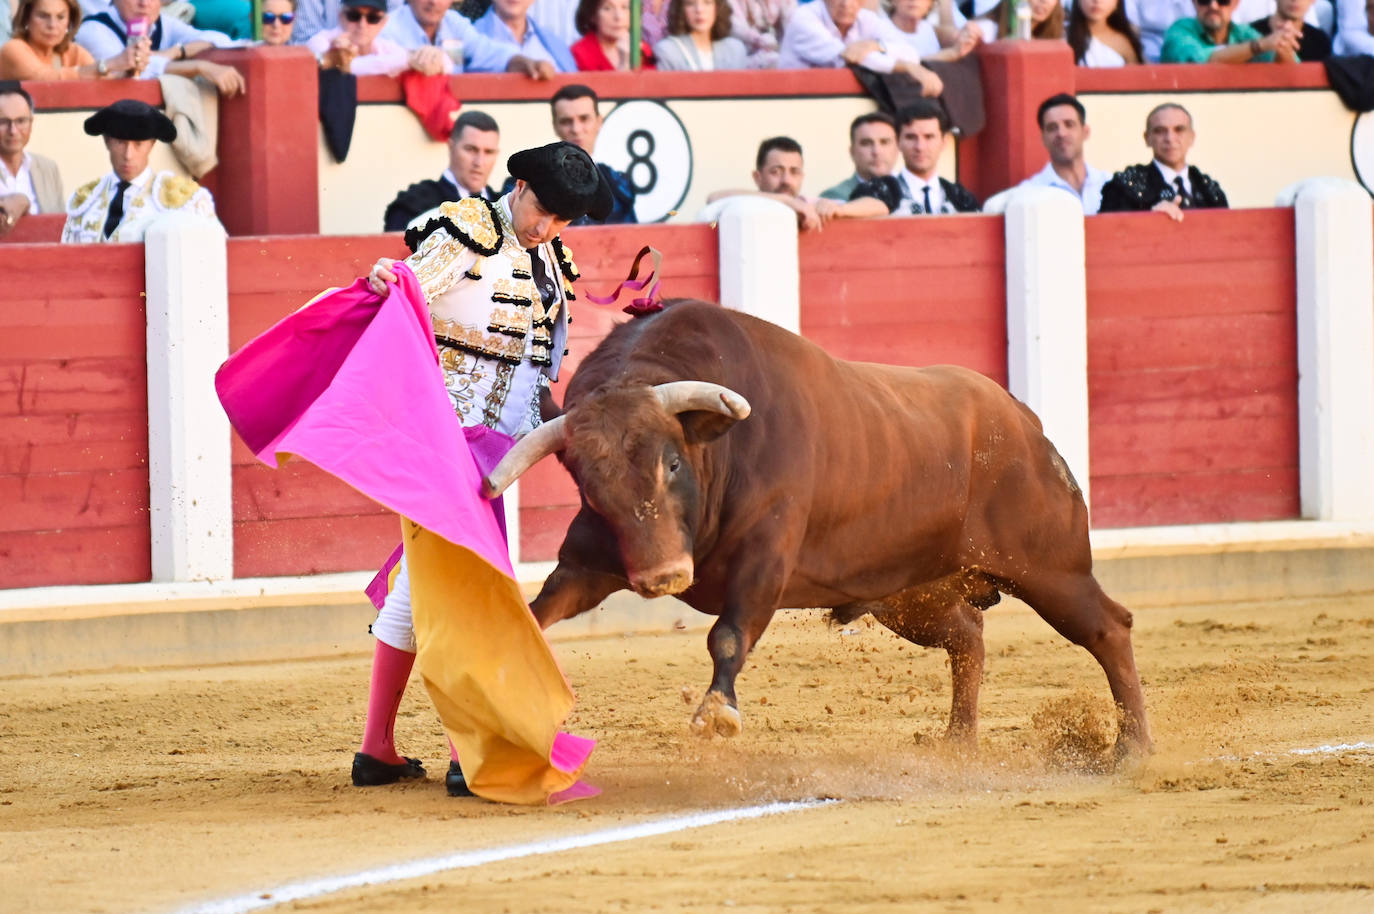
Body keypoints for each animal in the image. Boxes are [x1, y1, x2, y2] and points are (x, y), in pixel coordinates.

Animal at [483, 299, 1148, 753]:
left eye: (671, 462)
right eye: (590, 487)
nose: (663, 576)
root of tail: (1021, 418)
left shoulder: (764, 560)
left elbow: (729, 635)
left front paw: (717, 713)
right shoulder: (588, 565)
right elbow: (537, 613)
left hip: (1051, 569)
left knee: (1108, 628)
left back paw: (1132, 748)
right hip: (911, 596)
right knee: (968, 637)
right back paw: (957, 740)